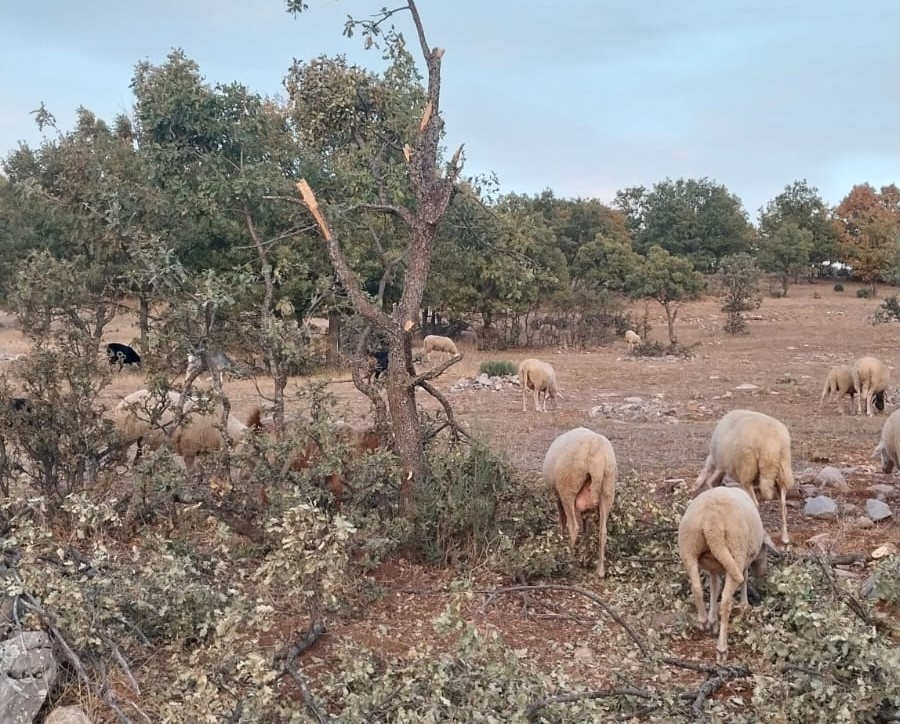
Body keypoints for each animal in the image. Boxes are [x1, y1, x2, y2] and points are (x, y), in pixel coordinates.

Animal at [540, 430, 620, 576]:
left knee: (573, 527)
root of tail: (595, 448)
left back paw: (568, 560)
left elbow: (562, 520)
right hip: (608, 489)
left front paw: (560, 540)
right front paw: (585, 549)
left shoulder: (558, 496)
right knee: (603, 531)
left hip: (568, 487)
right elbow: (586, 525)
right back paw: (600, 570)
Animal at [680, 484, 768, 664]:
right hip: (736, 550)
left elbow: (715, 587)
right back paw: (722, 649)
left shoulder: (714, 567)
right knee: (726, 602)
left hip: (689, 547)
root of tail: (712, 521)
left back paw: (703, 621)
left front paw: (712, 621)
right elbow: (744, 578)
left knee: (697, 587)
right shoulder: (744, 561)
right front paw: (744, 605)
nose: (763, 573)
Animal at [696, 410, 796, 544]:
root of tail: (770, 446)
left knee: (755, 504)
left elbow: (710, 481)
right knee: (783, 507)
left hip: (747, 470)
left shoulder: (721, 464)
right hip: (782, 472)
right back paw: (785, 537)